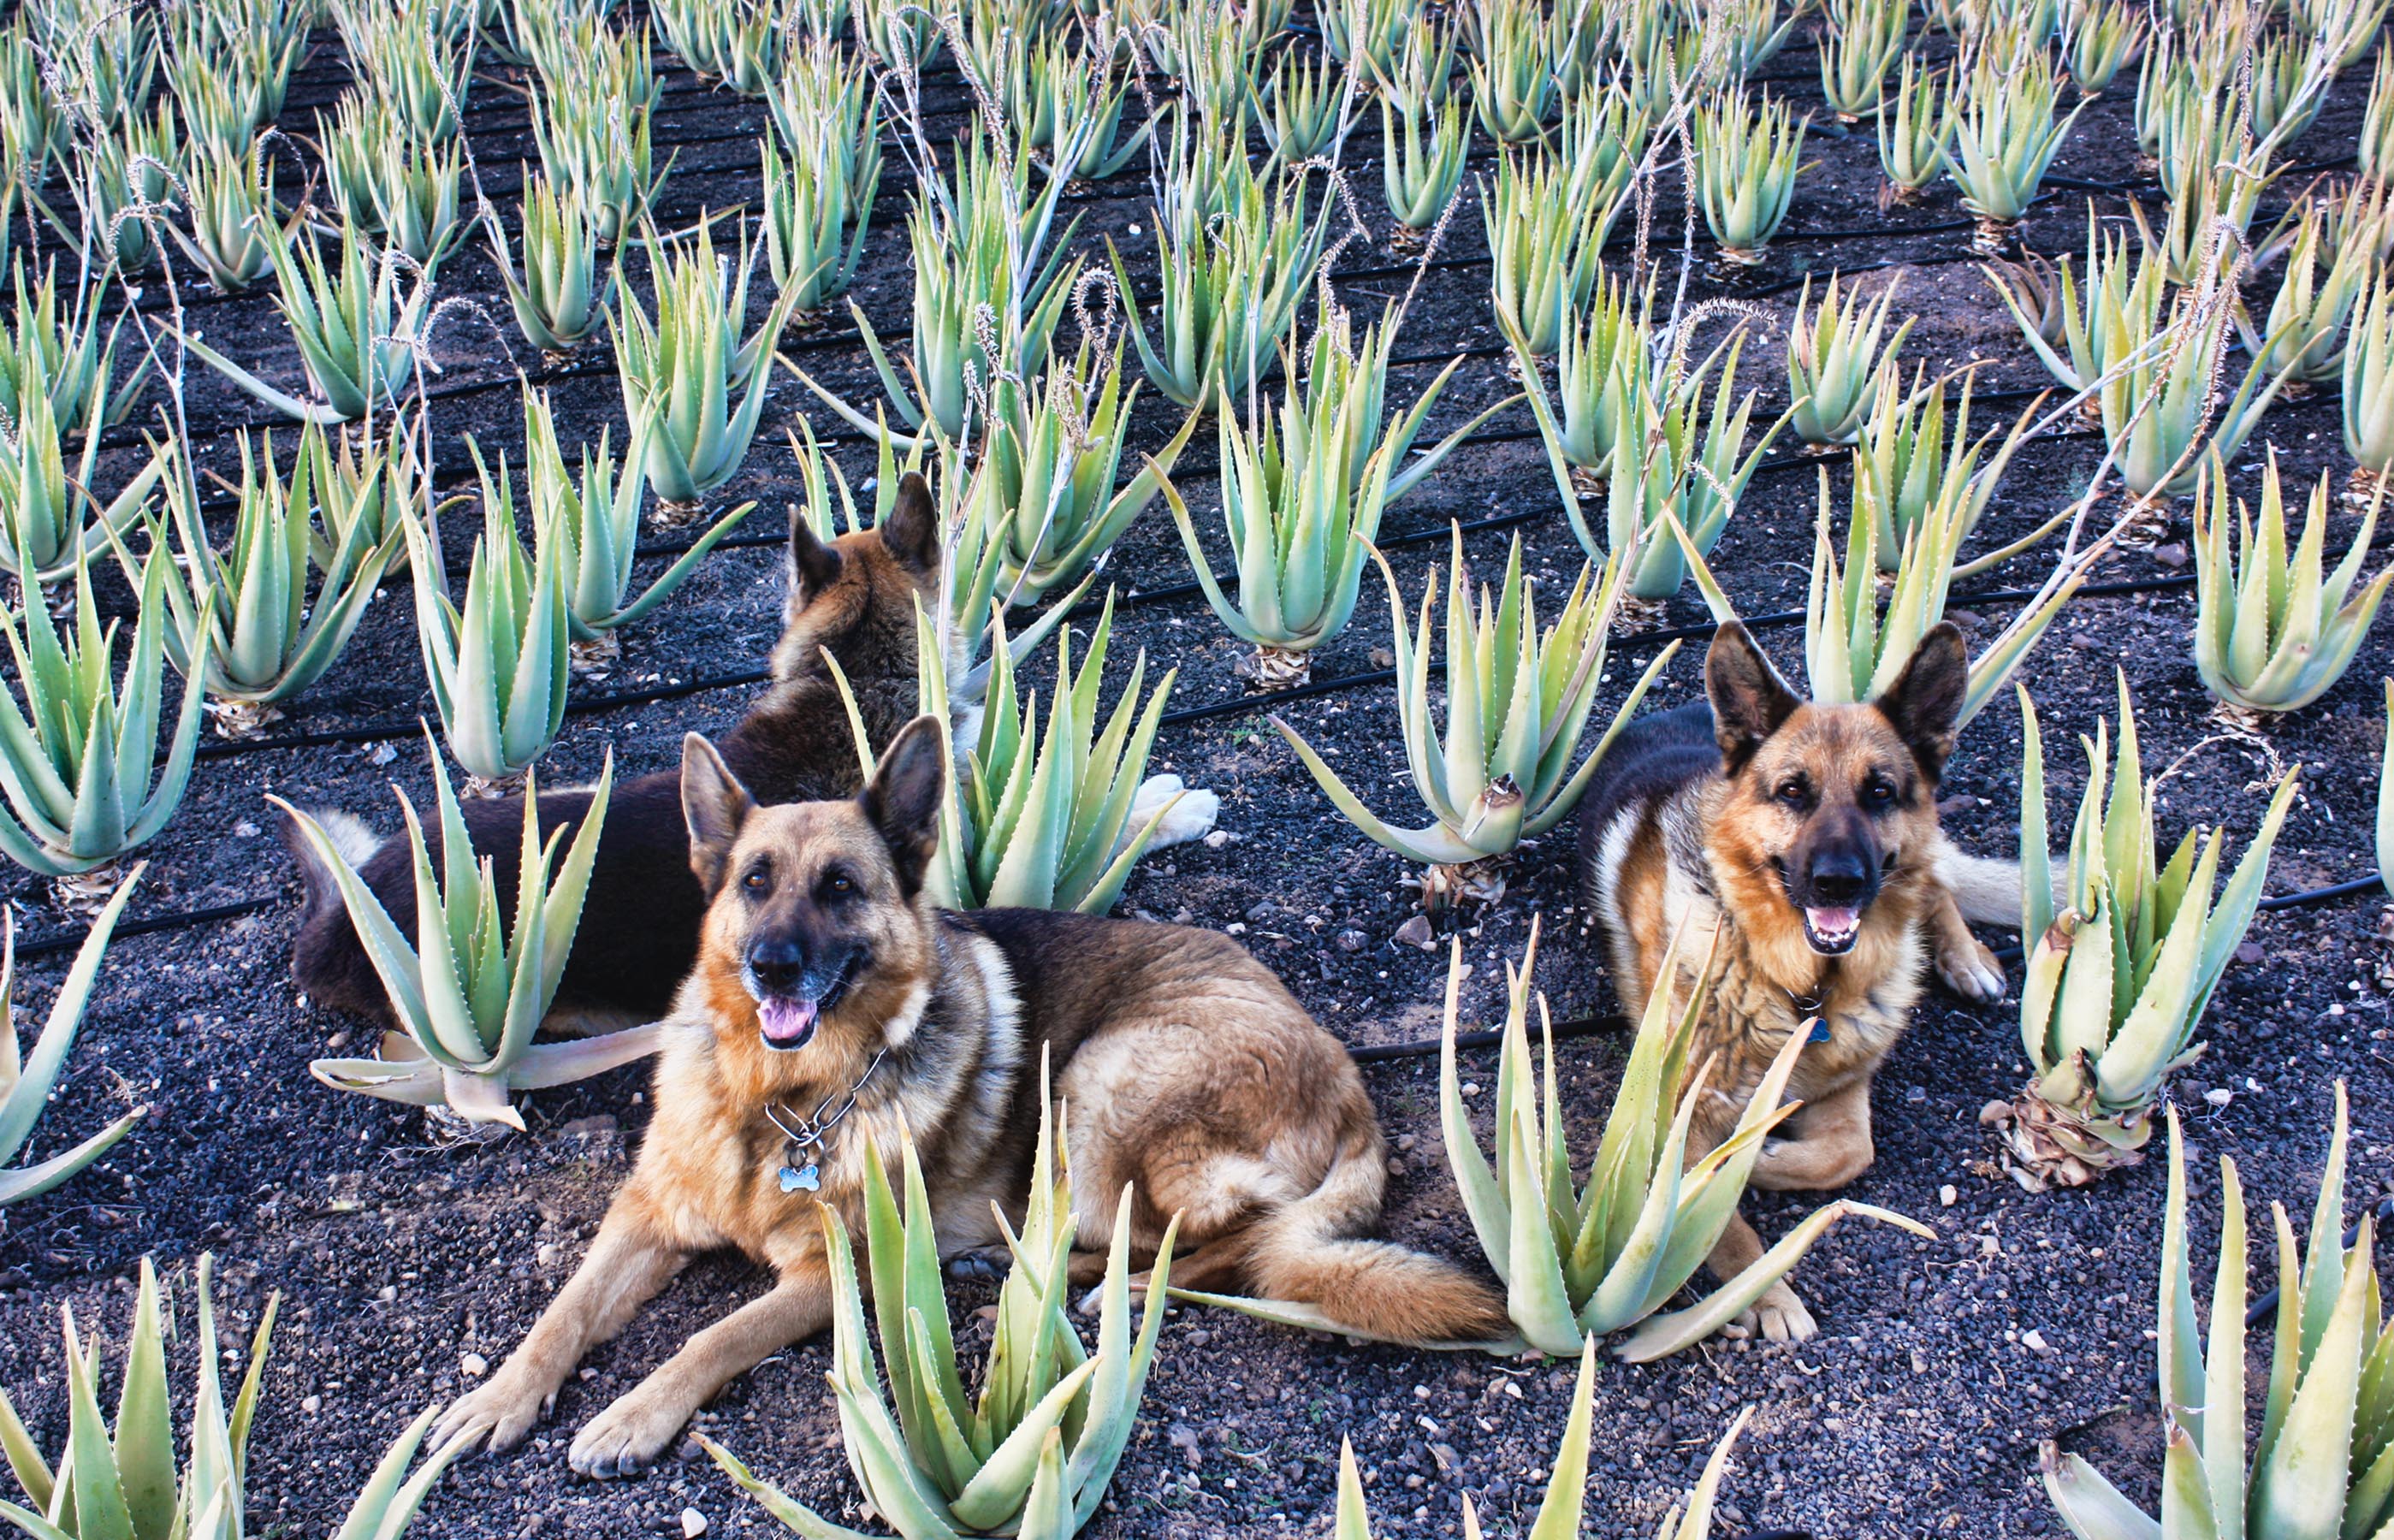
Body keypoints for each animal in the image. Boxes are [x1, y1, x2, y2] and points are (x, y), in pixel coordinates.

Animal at [430, 718, 1493, 1475]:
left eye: (841, 887)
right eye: (755, 881)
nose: (772, 966)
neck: (780, 1102)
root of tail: (1344, 1072)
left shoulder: (832, 1275)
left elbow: (712, 1336)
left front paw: (633, 1413)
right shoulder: (644, 1213)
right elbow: (563, 1310)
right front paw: (496, 1398)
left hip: (1096, 1081)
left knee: (1221, 1239)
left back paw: (1101, 1286)